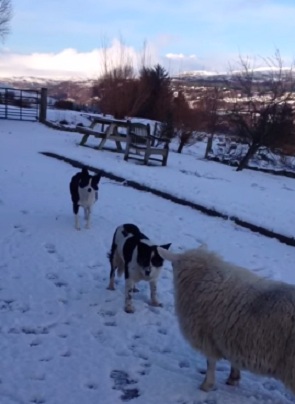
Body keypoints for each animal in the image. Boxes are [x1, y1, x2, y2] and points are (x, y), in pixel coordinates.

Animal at [158, 243, 295, 394]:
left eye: (172, 264)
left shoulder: (207, 337)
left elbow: (210, 362)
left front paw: (206, 385)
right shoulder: (233, 337)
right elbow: (233, 359)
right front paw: (233, 378)